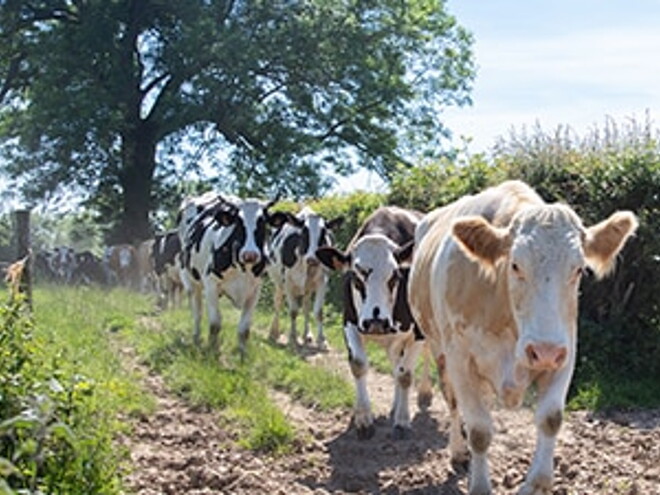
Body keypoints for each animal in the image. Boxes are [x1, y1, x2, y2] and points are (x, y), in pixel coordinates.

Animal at [178, 193, 292, 356]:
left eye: (263, 222)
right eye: (238, 222)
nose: (250, 255)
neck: (241, 268)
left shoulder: (255, 290)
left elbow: (244, 329)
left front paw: (242, 354)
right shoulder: (211, 285)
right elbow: (215, 323)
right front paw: (212, 350)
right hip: (191, 280)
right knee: (197, 312)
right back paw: (196, 337)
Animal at [266, 207, 342, 350]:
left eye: (324, 234)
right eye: (304, 233)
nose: (313, 259)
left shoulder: (322, 282)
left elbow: (318, 311)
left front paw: (322, 340)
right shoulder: (288, 283)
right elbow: (293, 311)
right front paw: (292, 339)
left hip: (308, 287)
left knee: (306, 307)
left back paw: (307, 335)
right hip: (278, 282)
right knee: (278, 302)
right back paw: (274, 332)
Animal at [316, 207, 434, 440]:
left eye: (395, 276)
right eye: (355, 277)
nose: (375, 321)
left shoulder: (416, 332)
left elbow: (406, 375)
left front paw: (402, 421)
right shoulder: (349, 323)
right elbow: (359, 365)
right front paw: (363, 420)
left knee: (423, 357)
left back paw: (424, 393)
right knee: (395, 363)